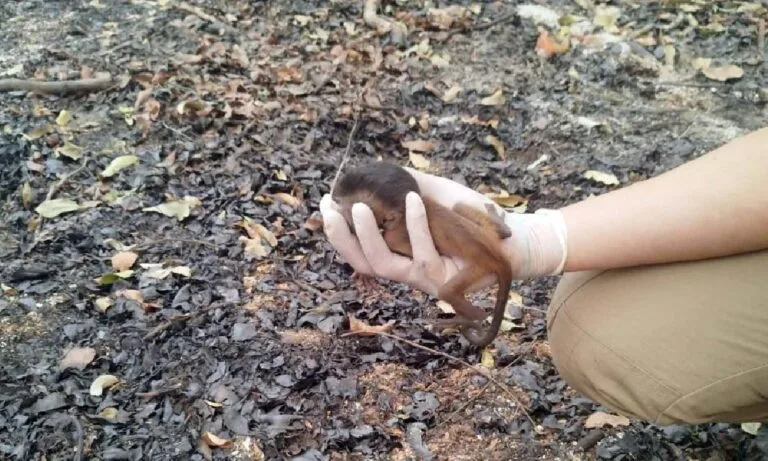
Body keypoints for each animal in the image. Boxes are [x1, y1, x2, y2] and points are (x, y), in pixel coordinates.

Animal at [331, 162, 513, 348]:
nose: (336, 198)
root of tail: (498, 256)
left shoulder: (395, 235)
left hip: (480, 265)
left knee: (448, 293)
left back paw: (469, 318)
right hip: (486, 233)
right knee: (462, 209)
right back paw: (501, 226)